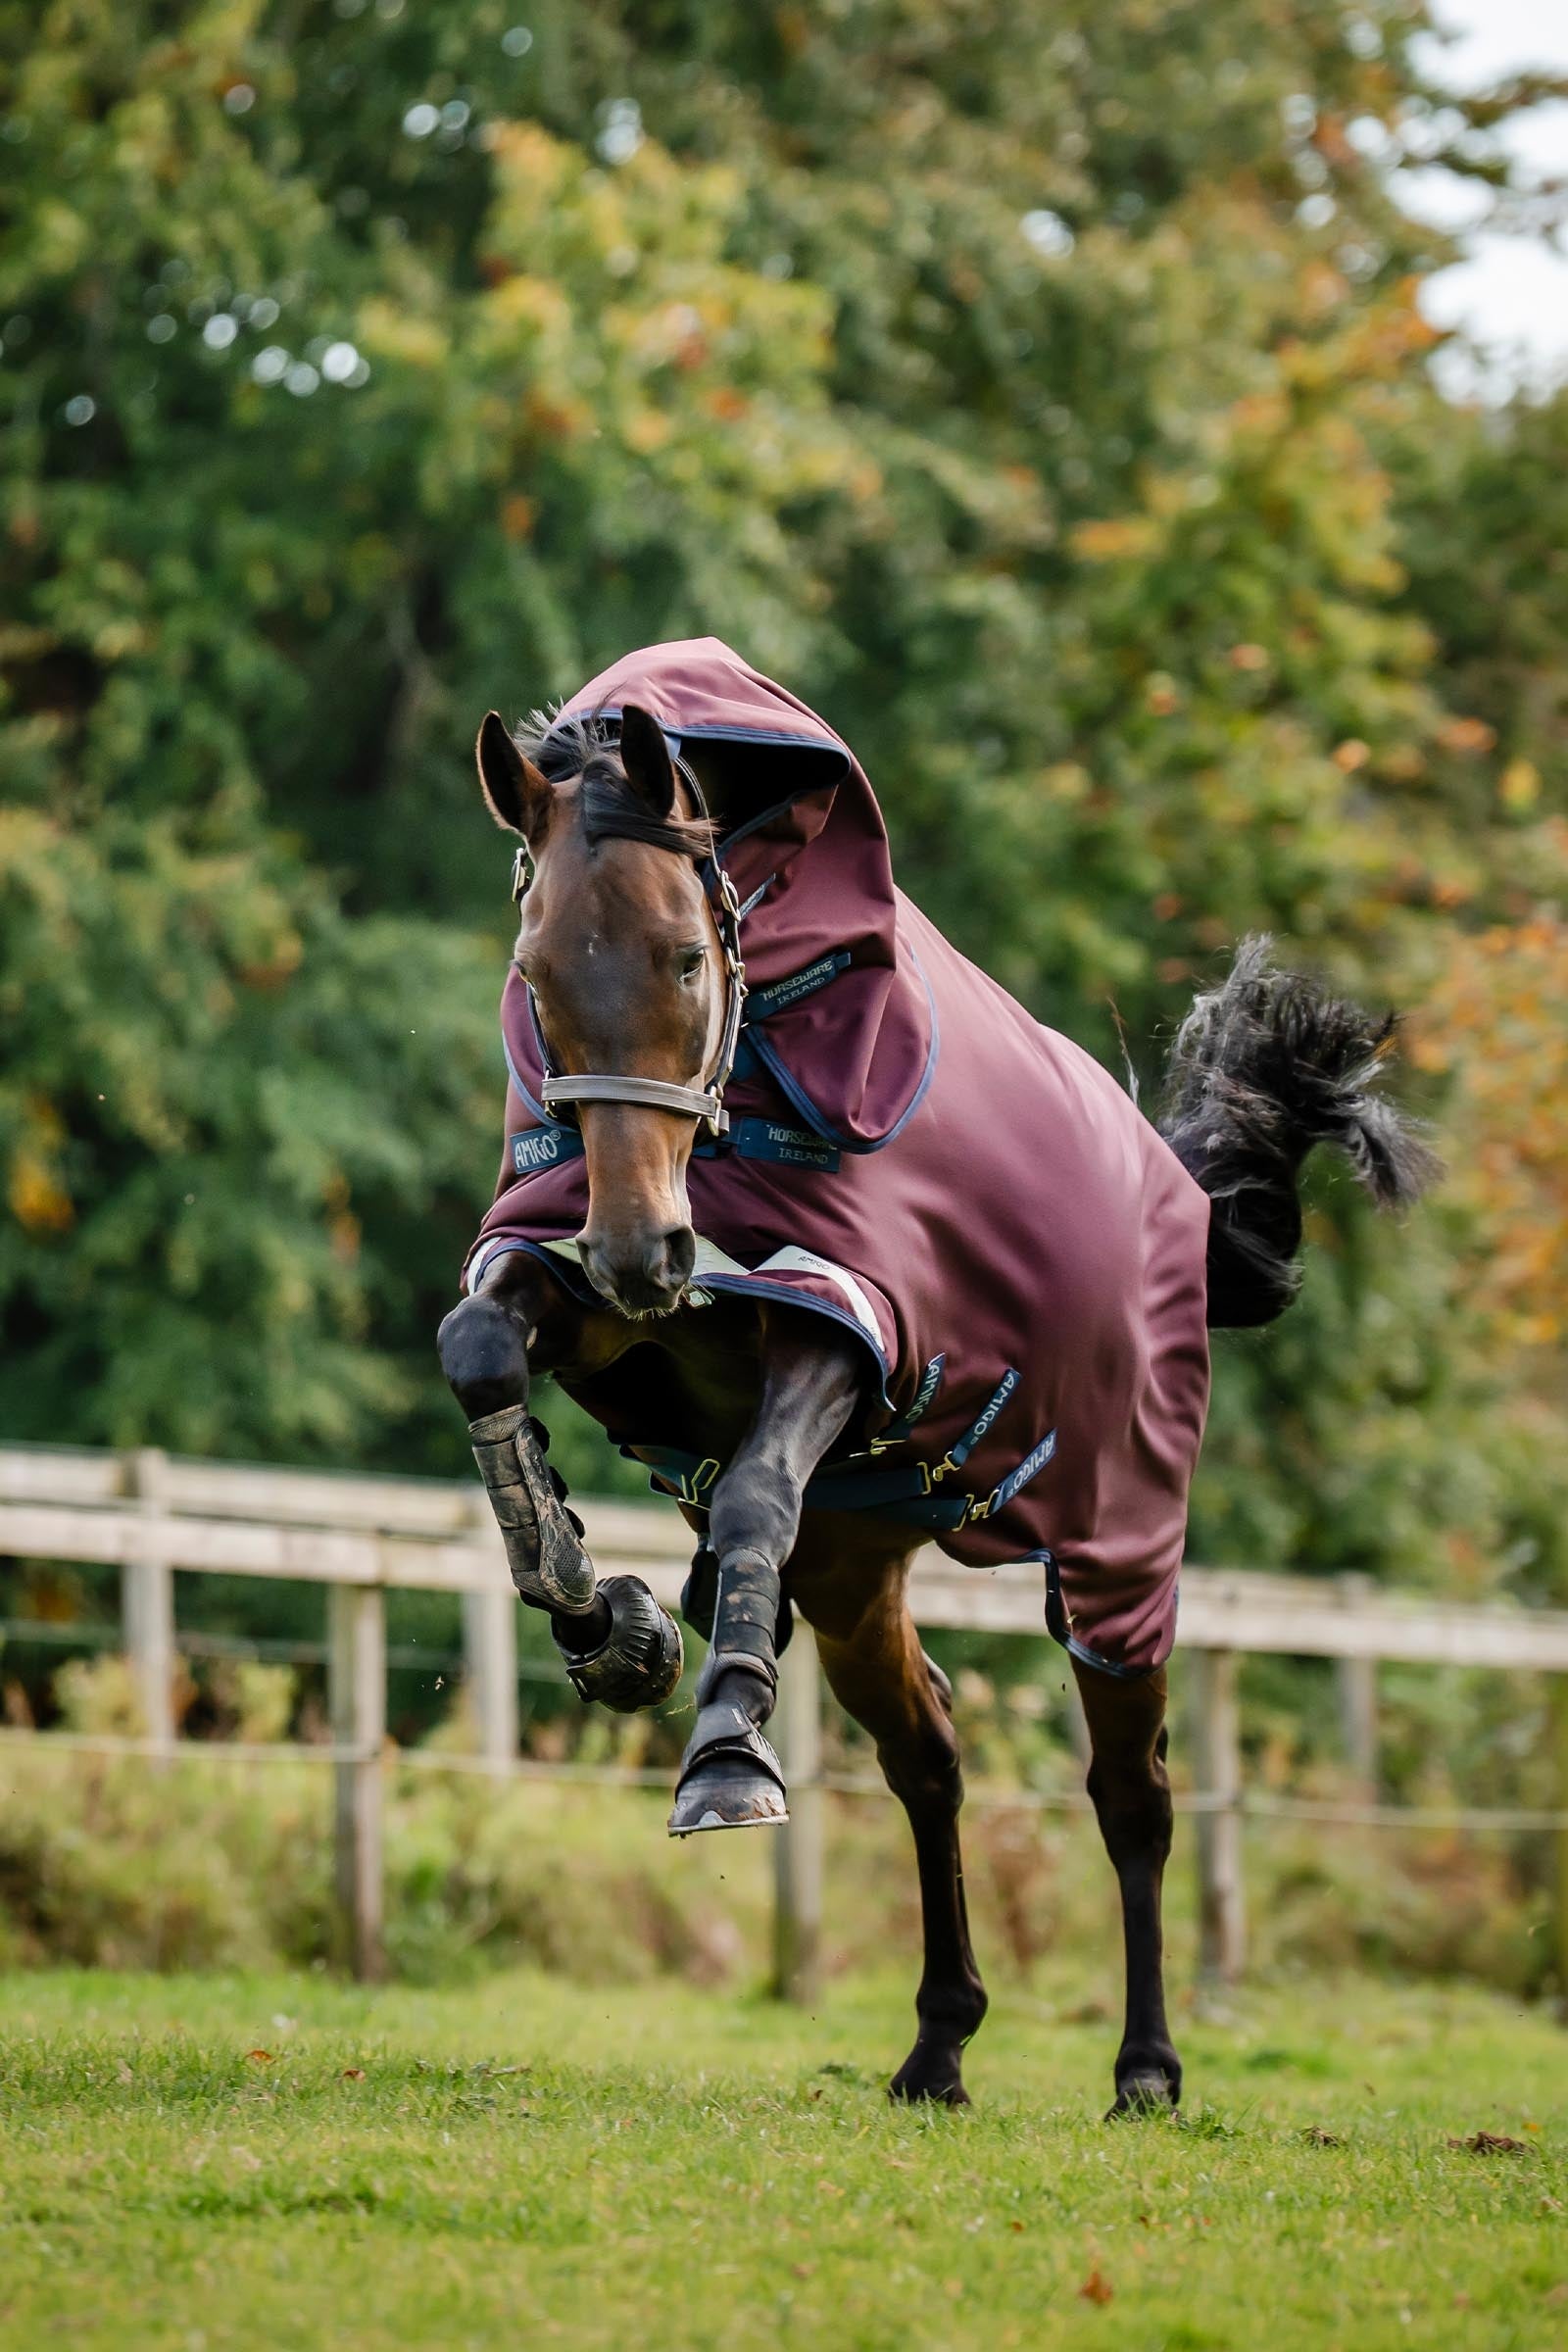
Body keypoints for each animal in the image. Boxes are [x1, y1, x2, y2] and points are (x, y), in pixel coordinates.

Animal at [437, 639, 1432, 2114]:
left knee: (1132, 1796)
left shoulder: (846, 1322)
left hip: (1120, 1553)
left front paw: (722, 1757)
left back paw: (1145, 2067)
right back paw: (938, 2042)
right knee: (932, 1759)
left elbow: (752, 1495)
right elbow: (481, 1353)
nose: (637, 1252)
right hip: (855, 1570)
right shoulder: (592, 1296)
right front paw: (610, 1618)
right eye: (537, 969)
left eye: (682, 955)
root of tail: (1176, 1199)